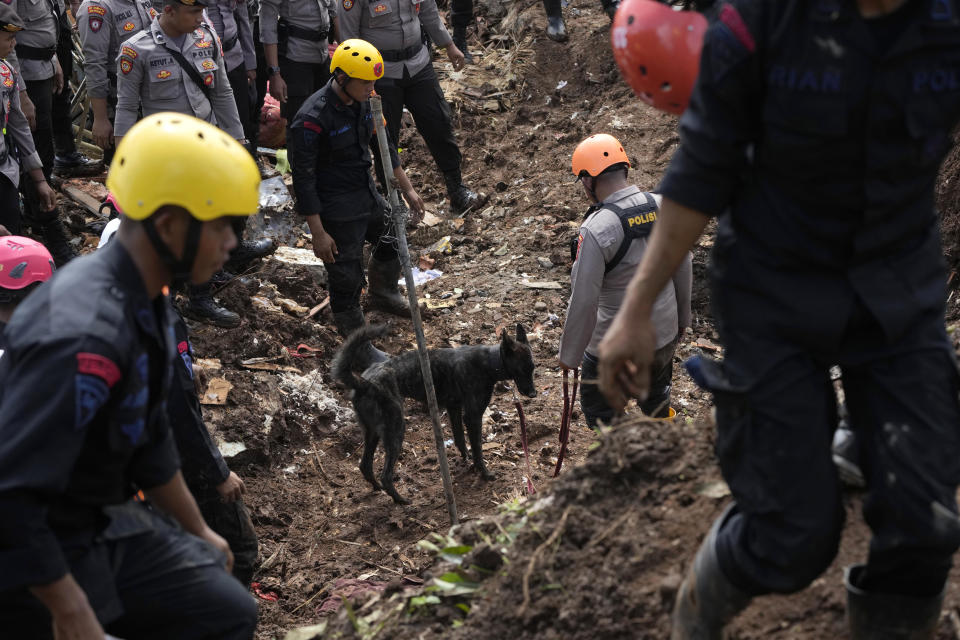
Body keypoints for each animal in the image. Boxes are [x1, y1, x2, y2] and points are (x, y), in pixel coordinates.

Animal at [334, 324, 536, 504]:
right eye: (522, 369)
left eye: (533, 368)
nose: (533, 394)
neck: (489, 362)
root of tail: (364, 382)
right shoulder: (473, 416)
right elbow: (477, 448)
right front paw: (485, 473)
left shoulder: (454, 408)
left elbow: (460, 439)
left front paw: (466, 459)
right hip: (395, 429)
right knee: (385, 474)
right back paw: (400, 500)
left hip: (372, 432)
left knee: (365, 465)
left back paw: (378, 489)